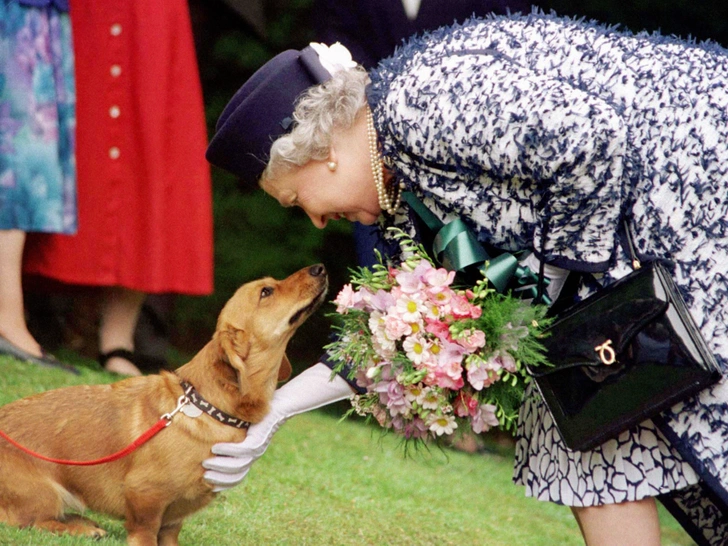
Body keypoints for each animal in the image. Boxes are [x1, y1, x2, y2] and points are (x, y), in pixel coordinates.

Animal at [0, 262, 328, 540]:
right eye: (266, 291)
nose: (320, 268)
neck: (207, 406)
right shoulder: (145, 497)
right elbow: (145, 531)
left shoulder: (173, 519)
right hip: (45, 493)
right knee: (32, 521)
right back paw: (78, 528)